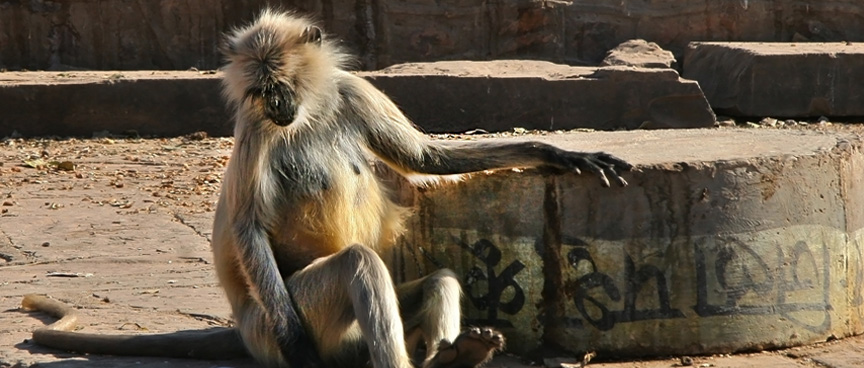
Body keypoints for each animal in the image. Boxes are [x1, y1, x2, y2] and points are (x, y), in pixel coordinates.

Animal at [18, 8, 628, 368]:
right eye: (261, 90)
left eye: (281, 84)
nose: (278, 107)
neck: (306, 113)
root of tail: (242, 326)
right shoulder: (254, 127)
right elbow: (246, 225)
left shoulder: (350, 90)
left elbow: (426, 157)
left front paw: (563, 154)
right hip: (279, 319)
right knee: (358, 264)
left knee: (439, 279)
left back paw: (454, 353)